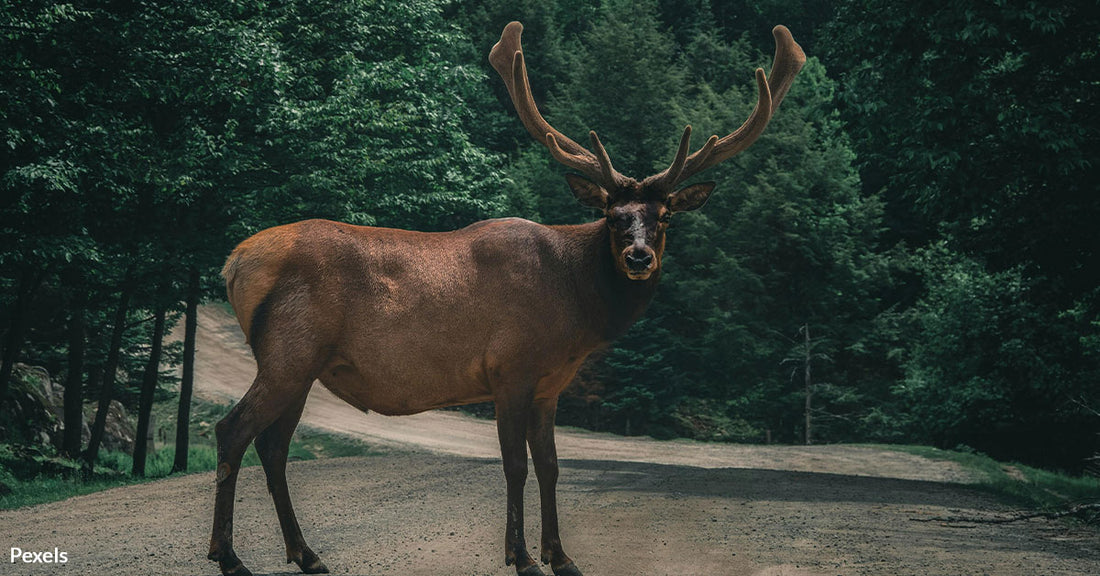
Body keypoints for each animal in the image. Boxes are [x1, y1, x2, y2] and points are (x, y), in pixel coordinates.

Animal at [208, 21, 804, 576]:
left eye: (664, 217)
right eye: (613, 216)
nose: (639, 257)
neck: (576, 310)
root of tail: (234, 263)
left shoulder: (549, 386)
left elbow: (551, 466)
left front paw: (562, 555)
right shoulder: (509, 368)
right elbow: (515, 465)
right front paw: (522, 556)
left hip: (302, 365)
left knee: (274, 446)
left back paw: (305, 553)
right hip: (289, 352)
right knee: (233, 430)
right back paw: (229, 555)